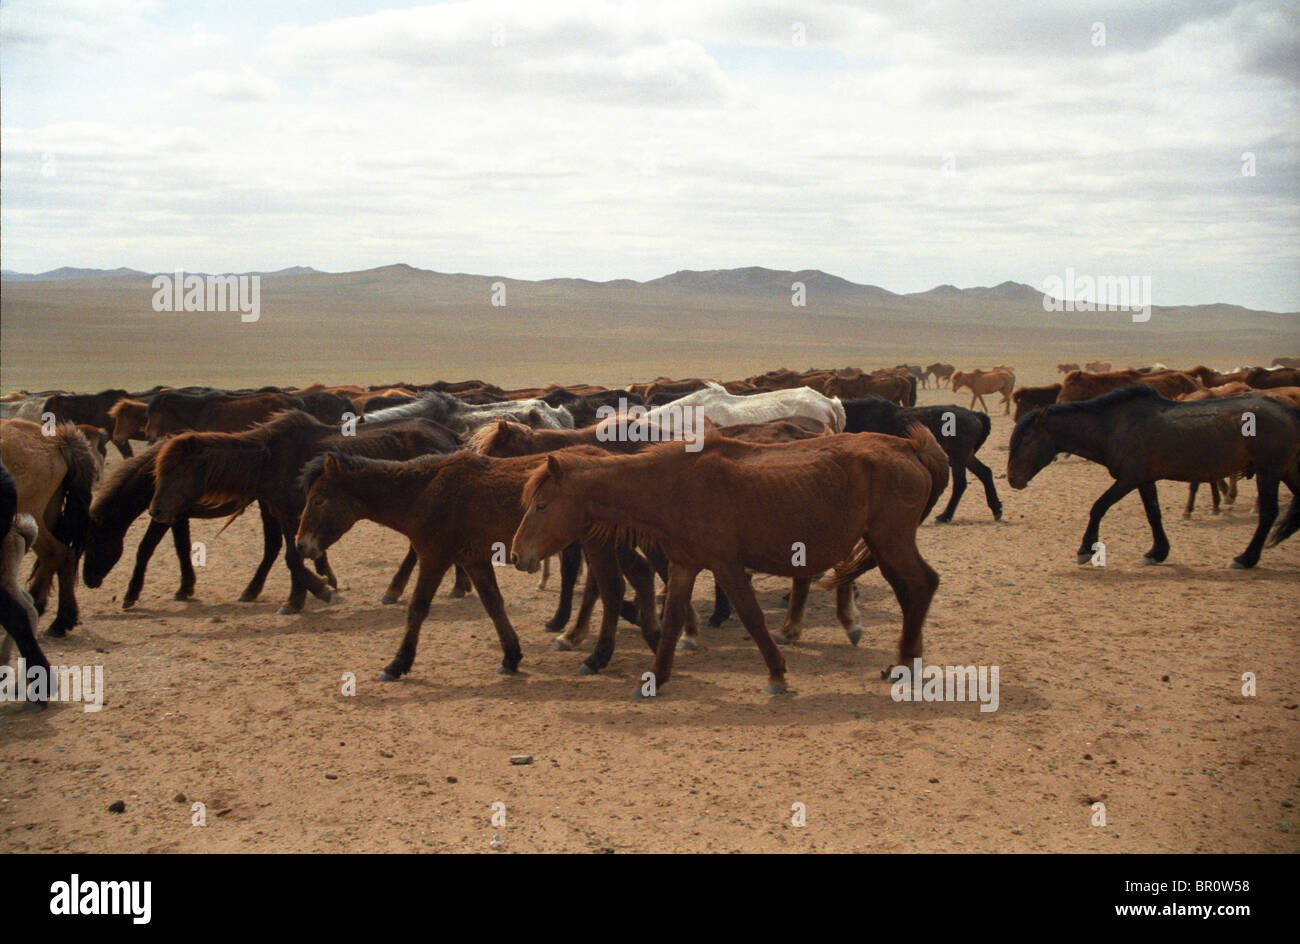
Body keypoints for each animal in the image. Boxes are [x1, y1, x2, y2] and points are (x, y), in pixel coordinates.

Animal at [0, 419, 99, 636]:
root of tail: (56, 441)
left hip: (31, 515)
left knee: (53, 553)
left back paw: (37, 605)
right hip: (48, 514)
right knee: (66, 557)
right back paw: (62, 619)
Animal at [294, 449, 659, 680]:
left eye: (318, 499)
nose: (300, 544)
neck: (424, 491)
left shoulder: (434, 558)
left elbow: (417, 608)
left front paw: (397, 665)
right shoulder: (474, 561)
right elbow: (493, 605)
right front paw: (511, 657)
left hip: (600, 543)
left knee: (614, 588)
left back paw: (601, 655)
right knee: (634, 579)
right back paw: (645, 636)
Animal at [510, 428, 949, 693]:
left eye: (542, 504)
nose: (517, 555)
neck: (672, 485)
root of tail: (908, 448)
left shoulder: (726, 565)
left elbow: (751, 617)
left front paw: (776, 674)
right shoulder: (685, 565)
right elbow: (673, 619)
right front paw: (656, 677)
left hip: (891, 541)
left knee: (923, 584)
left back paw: (903, 663)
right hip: (883, 544)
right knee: (911, 593)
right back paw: (904, 659)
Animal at [843, 397, 1001, 522]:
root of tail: (975, 415)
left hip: (958, 457)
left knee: (960, 484)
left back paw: (945, 515)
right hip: (967, 457)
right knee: (985, 473)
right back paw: (996, 508)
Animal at [1007, 385, 1300, 568]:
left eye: (1027, 442)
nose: (1012, 479)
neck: (1114, 426)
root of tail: (1289, 411)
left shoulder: (1128, 478)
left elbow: (1098, 506)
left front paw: (1085, 550)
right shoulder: (1144, 480)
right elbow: (1153, 514)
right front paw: (1157, 552)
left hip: (1269, 472)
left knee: (1269, 512)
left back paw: (1245, 558)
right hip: (1286, 471)